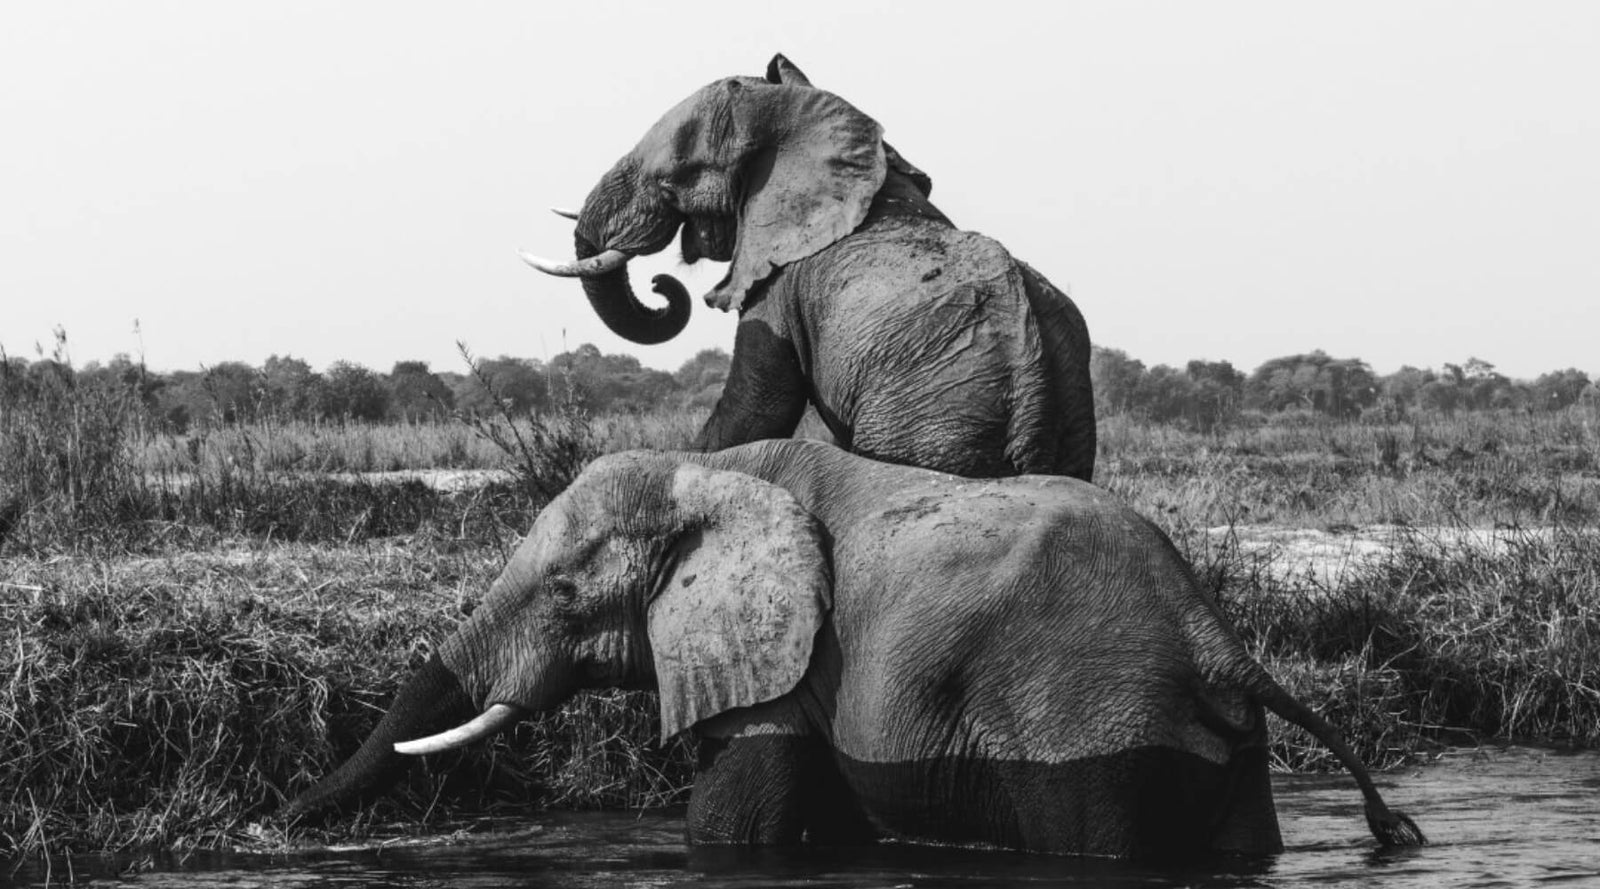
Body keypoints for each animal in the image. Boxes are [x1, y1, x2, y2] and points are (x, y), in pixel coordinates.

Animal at [283, 438, 1424, 859]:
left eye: (566, 594)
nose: (280, 823)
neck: (705, 468)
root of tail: (1213, 634)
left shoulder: (790, 663)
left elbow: (735, 818)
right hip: (1216, 744)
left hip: (1096, 715)